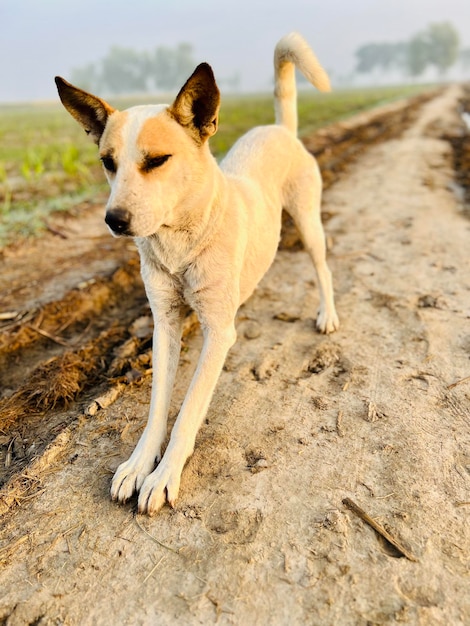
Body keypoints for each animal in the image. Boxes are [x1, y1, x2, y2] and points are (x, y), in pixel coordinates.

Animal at [56, 31, 338, 516]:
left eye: (157, 160)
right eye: (108, 162)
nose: (114, 220)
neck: (181, 242)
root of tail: (279, 129)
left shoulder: (217, 333)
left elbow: (187, 410)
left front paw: (164, 475)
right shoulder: (165, 325)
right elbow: (157, 406)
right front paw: (138, 464)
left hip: (308, 222)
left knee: (323, 268)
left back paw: (328, 314)